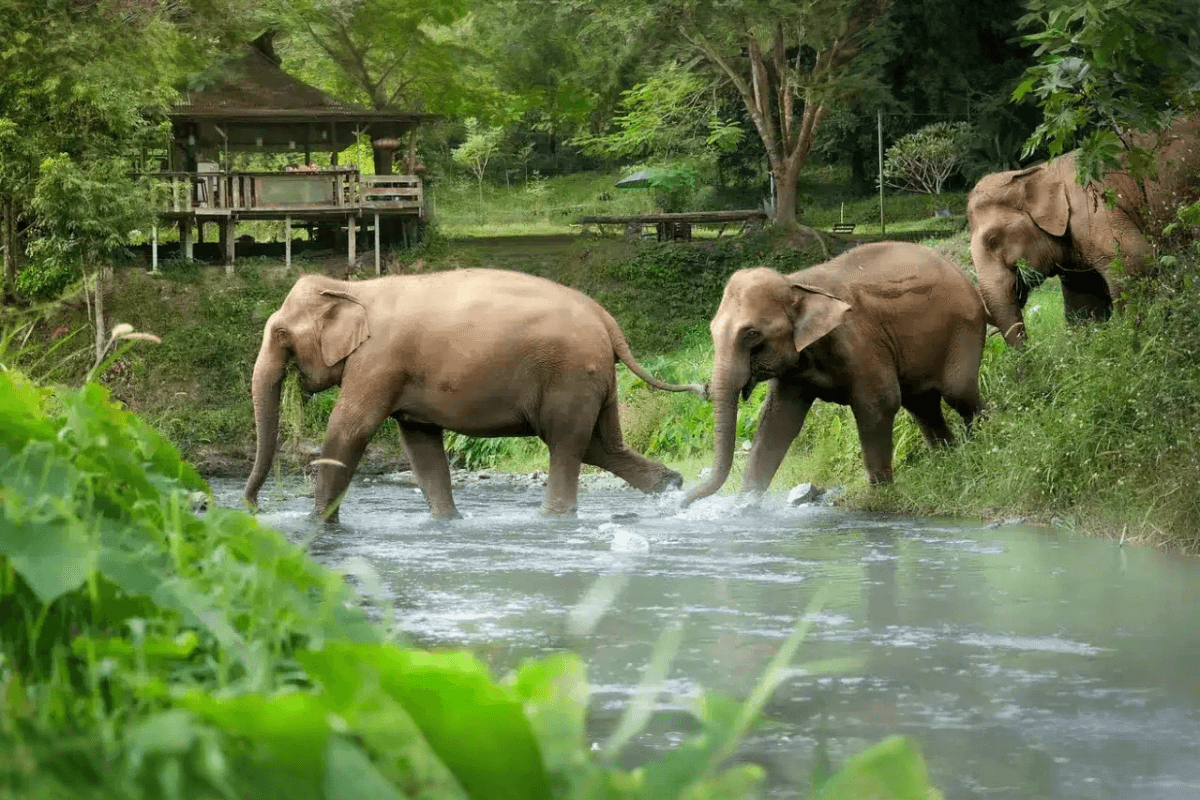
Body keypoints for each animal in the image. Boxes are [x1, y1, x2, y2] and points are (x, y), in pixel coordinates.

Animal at [244, 269, 705, 520]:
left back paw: (553, 518)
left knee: (566, 444)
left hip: (570, 375)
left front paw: (316, 525)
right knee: (600, 445)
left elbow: (350, 429)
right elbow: (420, 445)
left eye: (281, 334)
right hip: (594, 378)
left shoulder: (379, 362)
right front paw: (447, 521)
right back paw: (672, 487)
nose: (253, 508)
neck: (352, 287)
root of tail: (607, 319)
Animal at [681, 241, 987, 507]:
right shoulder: (795, 369)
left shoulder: (859, 339)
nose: (681, 503)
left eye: (751, 334)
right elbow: (778, 421)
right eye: (712, 330)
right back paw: (949, 460)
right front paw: (744, 506)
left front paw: (879, 496)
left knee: (958, 393)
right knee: (922, 405)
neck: (796, 284)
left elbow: (879, 403)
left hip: (964, 329)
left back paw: (984, 443)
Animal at [968, 116, 1200, 345]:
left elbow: (1134, 262)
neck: (1035, 172)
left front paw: (1133, 338)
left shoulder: (1095, 214)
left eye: (993, 240)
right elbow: (1085, 304)